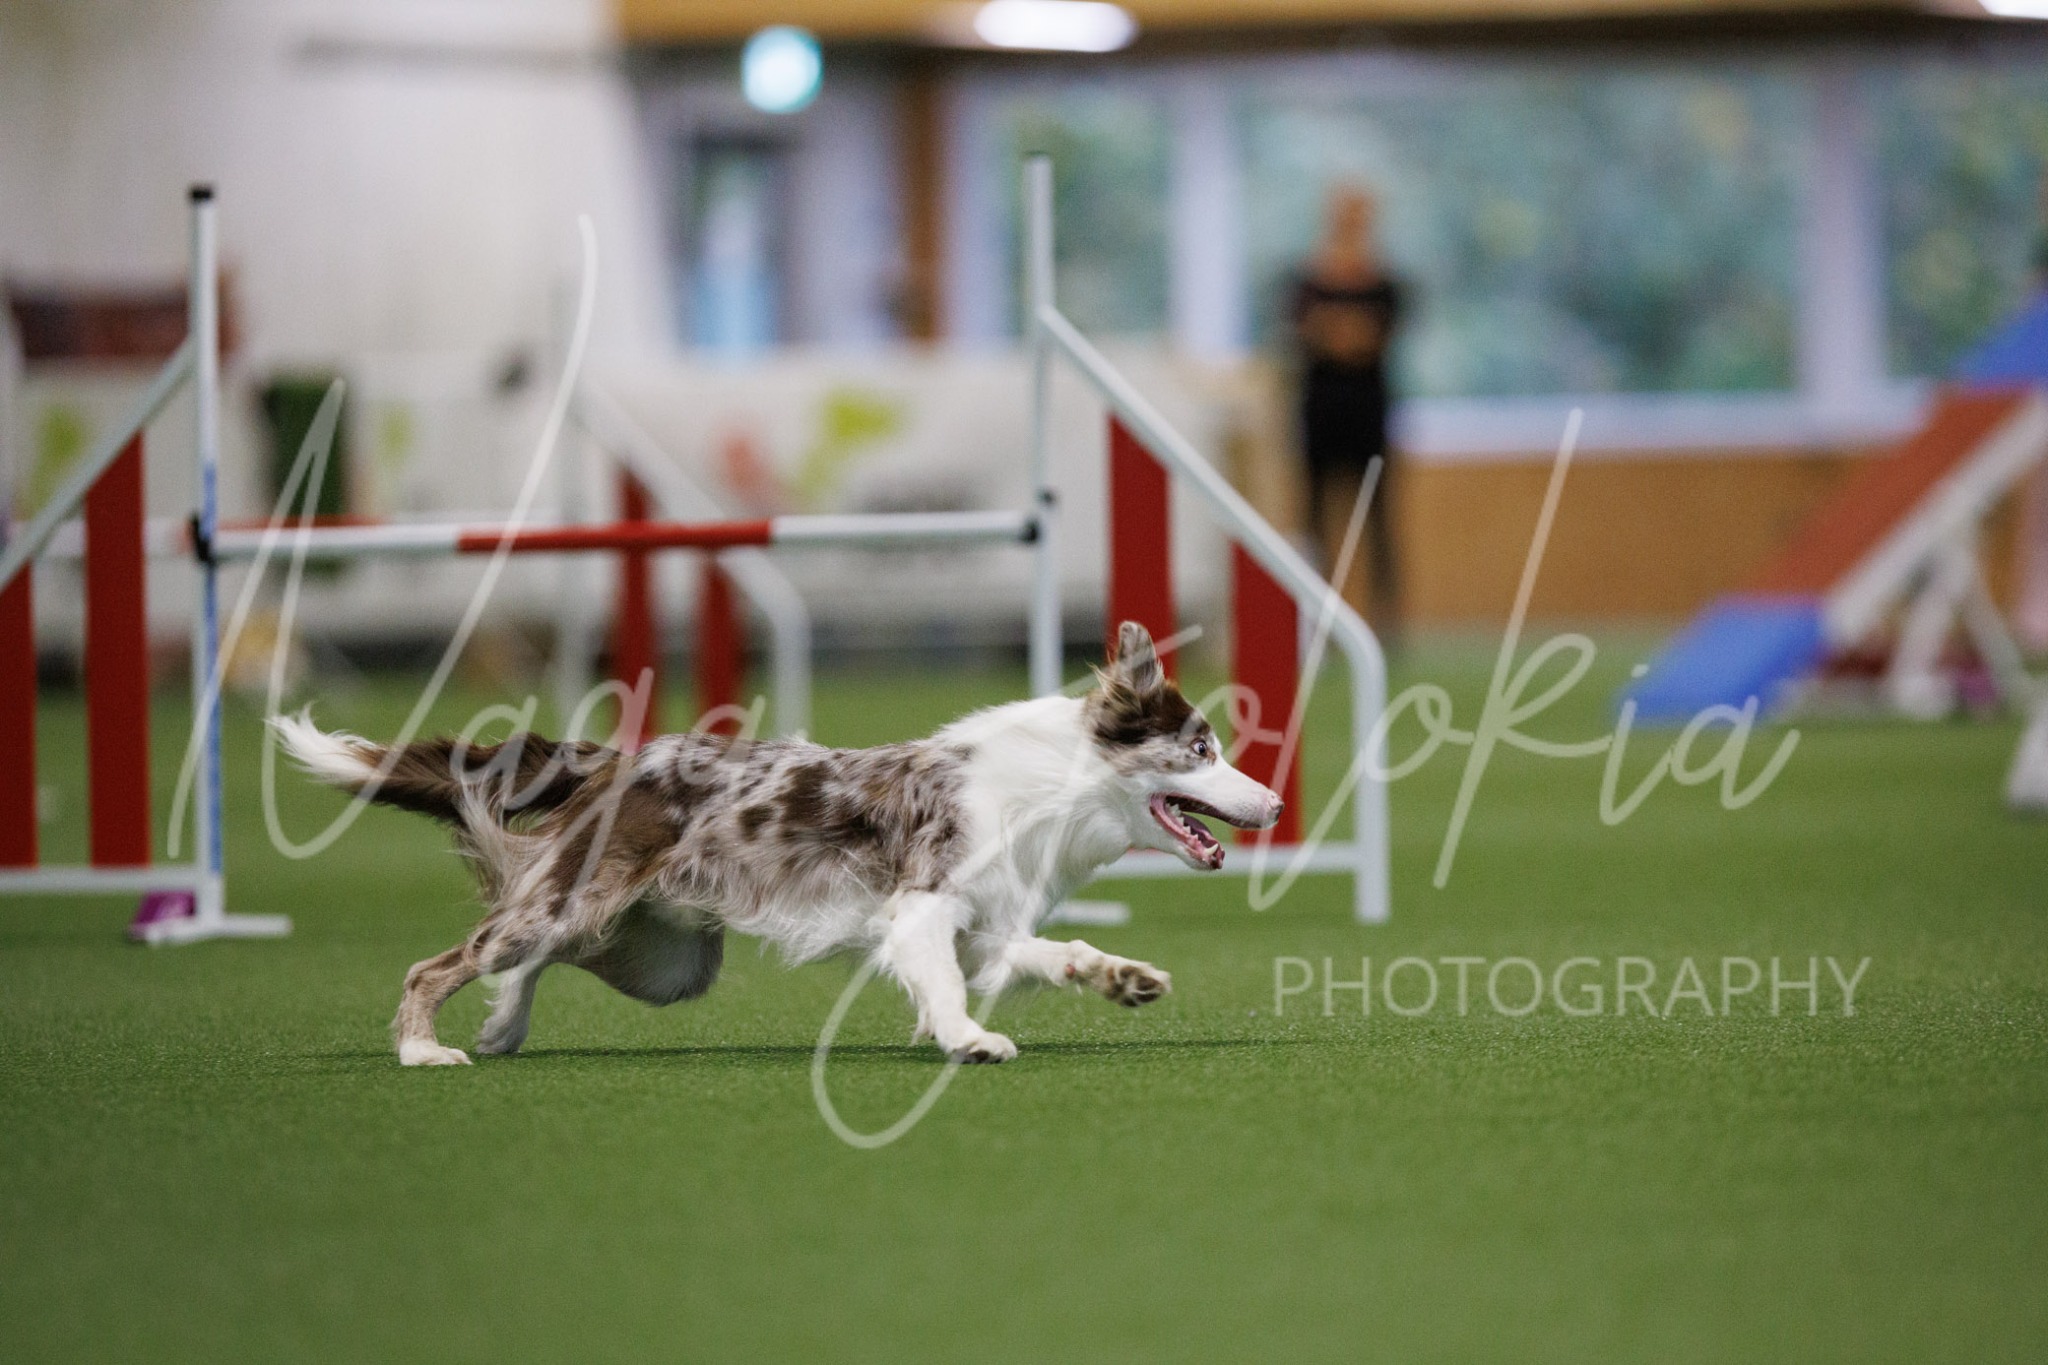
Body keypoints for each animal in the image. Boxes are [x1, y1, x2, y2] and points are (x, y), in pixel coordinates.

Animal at [274, 621, 1282, 1066]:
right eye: (1203, 749)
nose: (1273, 803)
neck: (1047, 788)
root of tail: (625, 759)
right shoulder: (920, 911)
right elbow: (947, 983)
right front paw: (965, 1037)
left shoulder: (991, 926)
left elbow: (1050, 952)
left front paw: (1121, 976)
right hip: (584, 905)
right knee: (451, 958)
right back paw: (424, 1049)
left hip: (663, 956)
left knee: (539, 954)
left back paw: (502, 1025)